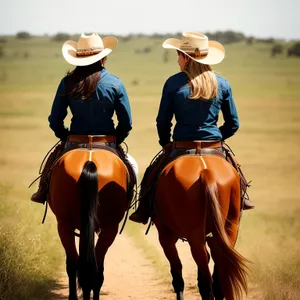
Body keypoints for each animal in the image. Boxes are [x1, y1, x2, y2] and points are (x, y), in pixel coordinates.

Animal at [155, 154, 248, 298]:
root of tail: (205, 171)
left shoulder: (165, 235)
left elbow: (177, 272)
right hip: (230, 227)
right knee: (221, 267)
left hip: (193, 234)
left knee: (204, 275)